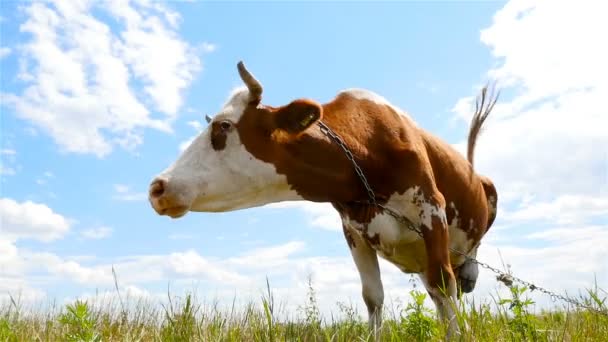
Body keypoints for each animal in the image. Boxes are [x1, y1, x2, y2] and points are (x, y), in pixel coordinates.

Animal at [150, 62, 496, 340]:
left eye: (223, 126)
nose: (156, 187)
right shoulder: (354, 231)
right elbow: (373, 297)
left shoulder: (432, 210)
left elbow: (443, 283)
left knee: (454, 280)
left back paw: (470, 274)